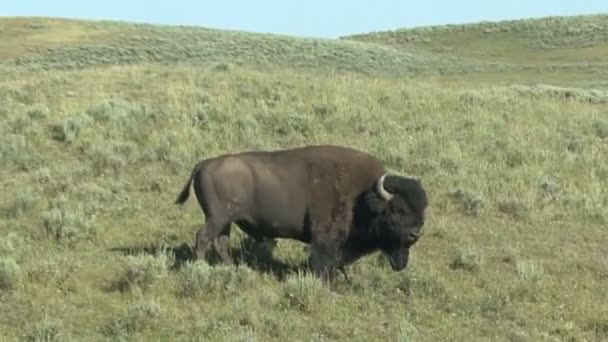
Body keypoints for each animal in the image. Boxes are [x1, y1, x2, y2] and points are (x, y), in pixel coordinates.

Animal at [176, 144, 428, 280]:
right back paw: (199, 268)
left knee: (221, 243)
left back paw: (232, 269)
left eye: (422, 209)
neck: (363, 196)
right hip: (217, 218)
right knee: (203, 238)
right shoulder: (325, 237)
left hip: (225, 221)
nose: (416, 234)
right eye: (398, 209)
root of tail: (203, 163)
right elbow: (323, 260)